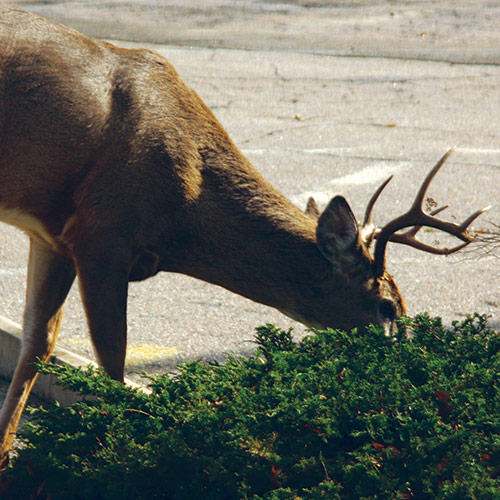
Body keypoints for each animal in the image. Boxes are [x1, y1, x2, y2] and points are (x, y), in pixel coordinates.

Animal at [0, 4, 488, 464]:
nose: (406, 365)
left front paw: (7, 454)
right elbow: (112, 358)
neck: (186, 207)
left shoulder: (52, 237)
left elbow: (38, 344)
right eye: (388, 306)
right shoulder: (102, 234)